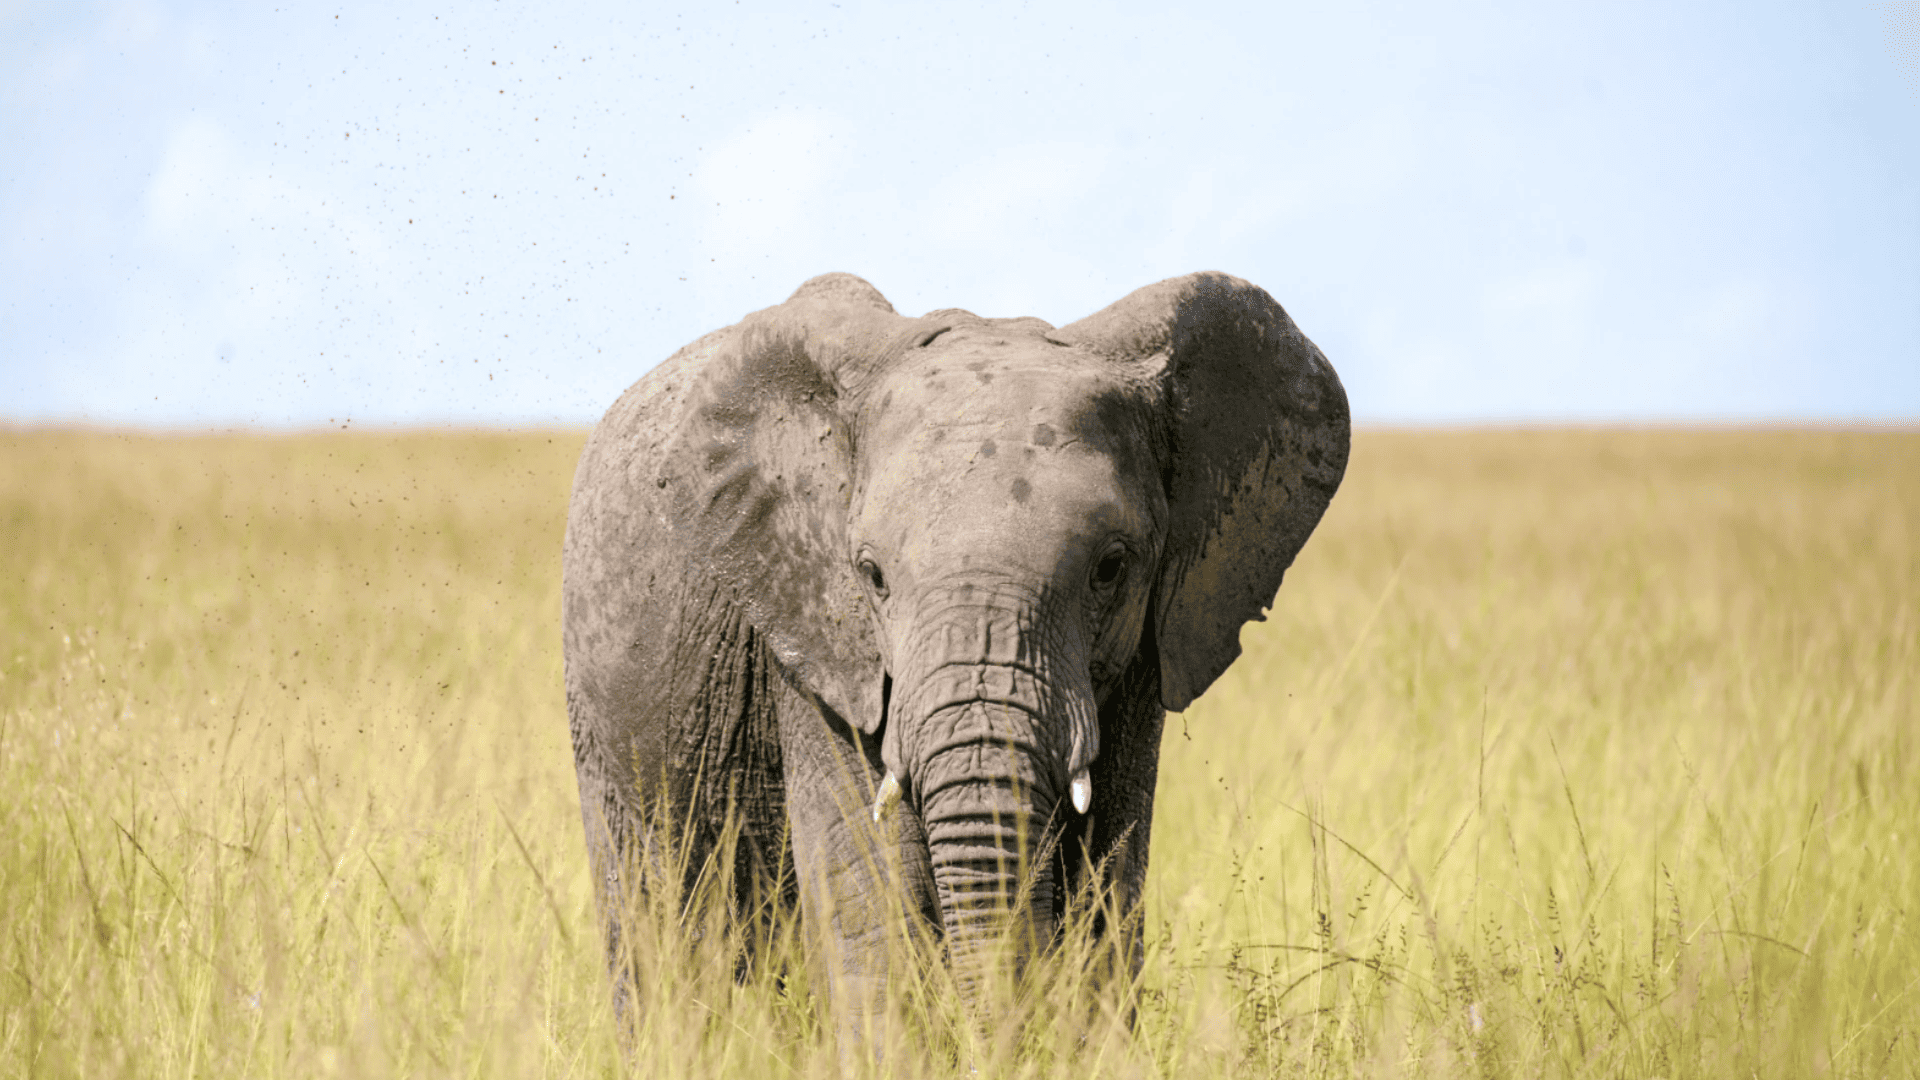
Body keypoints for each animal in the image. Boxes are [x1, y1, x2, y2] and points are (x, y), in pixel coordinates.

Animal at [560, 270, 1349, 1049]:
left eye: (1111, 568)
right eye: (871, 575)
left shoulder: (1146, 649)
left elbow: (1105, 884)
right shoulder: (818, 646)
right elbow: (872, 896)